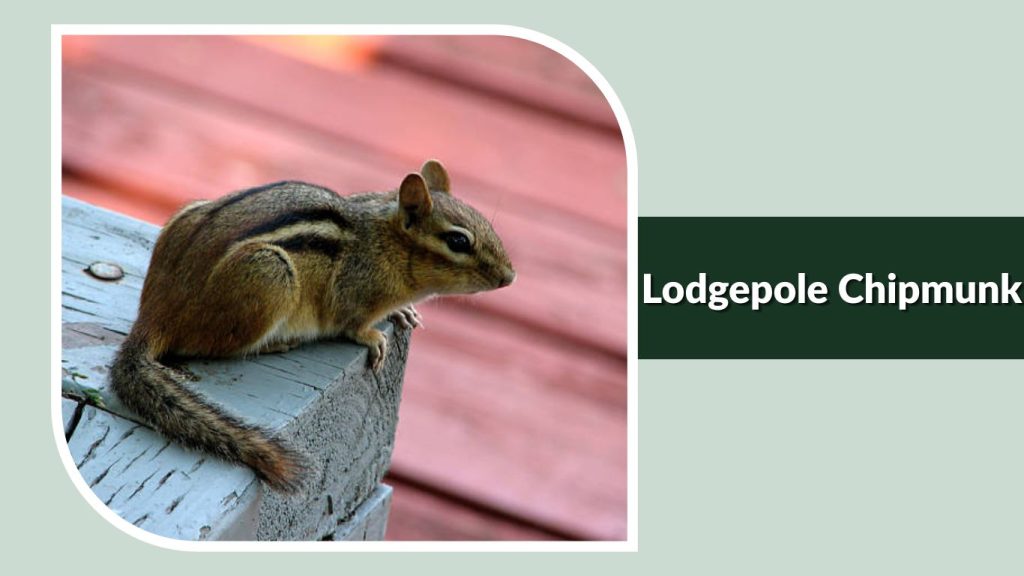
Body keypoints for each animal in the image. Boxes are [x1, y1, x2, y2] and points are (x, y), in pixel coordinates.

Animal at [109, 160, 515, 493]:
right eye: (458, 240)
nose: (509, 277)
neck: (386, 242)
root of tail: (157, 312)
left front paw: (403, 313)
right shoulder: (354, 294)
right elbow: (353, 325)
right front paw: (374, 337)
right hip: (268, 273)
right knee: (208, 346)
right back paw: (276, 343)